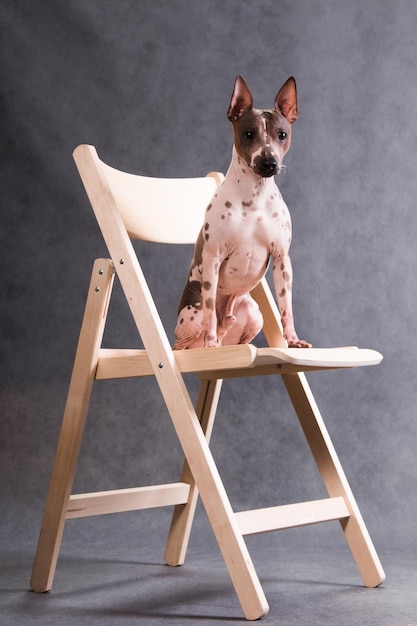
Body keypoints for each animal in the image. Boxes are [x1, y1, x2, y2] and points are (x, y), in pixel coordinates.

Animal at [174, 75, 310, 348]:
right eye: (248, 134)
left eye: (282, 135)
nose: (269, 162)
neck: (253, 199)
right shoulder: (213, 257)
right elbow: (209, 312)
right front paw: (211, 344)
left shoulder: (282, 260)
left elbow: (286, 308)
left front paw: (292, 339)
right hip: (192, 316)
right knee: (189, 337)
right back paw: (207, 344)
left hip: (253, 314)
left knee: (228, 329)